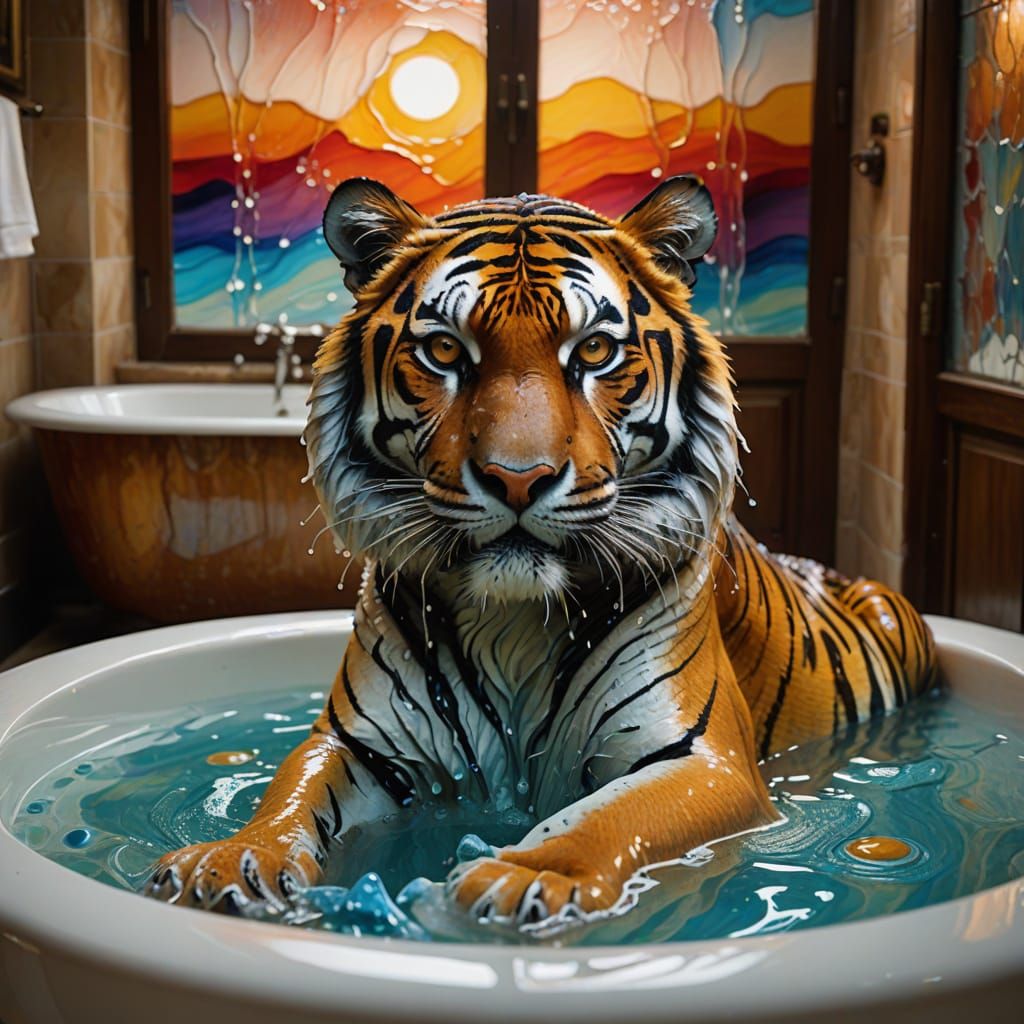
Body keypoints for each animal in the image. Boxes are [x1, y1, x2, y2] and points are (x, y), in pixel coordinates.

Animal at [146, 176, 936, 925]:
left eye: (593, 350)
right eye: (444, 350)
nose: (517, 478)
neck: (513, 620)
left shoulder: (701, 760)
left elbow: (606, 817)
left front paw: (524, 876)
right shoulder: (358, 744)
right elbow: (290, 793)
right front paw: (228, 861)